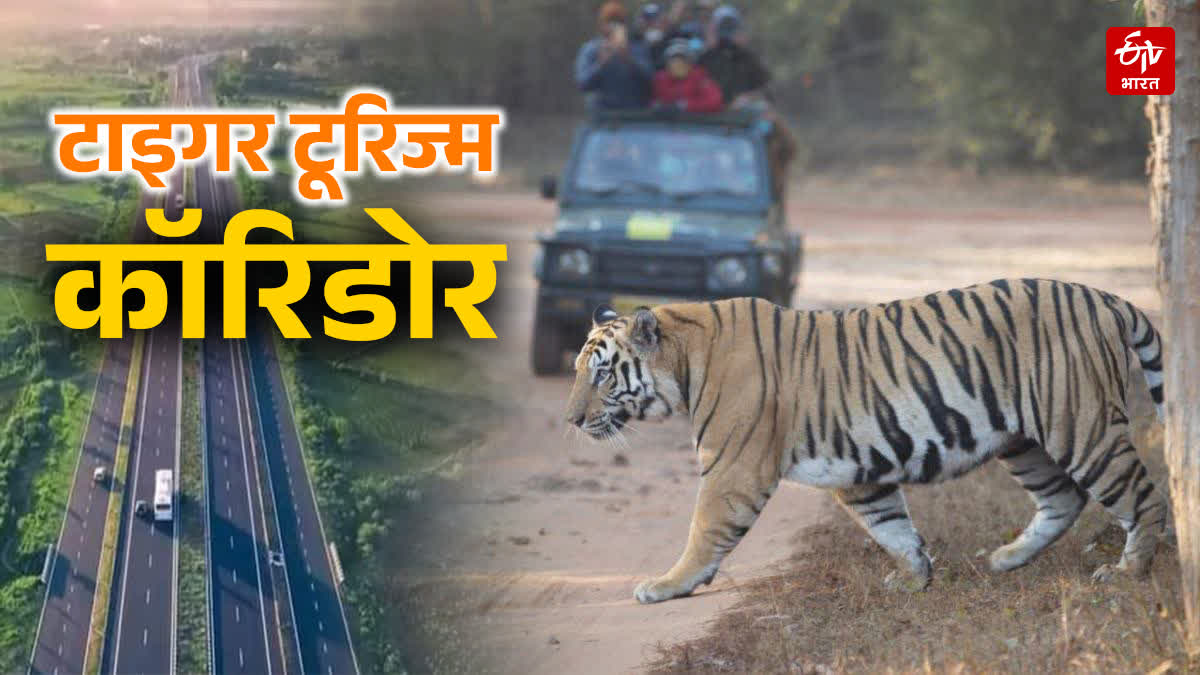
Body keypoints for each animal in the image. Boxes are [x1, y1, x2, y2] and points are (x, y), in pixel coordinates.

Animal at [565, 278, 1168, 604]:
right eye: (577, 371)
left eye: (601, 375)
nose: (570, 419)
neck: (686, 361)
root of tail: (1106, 298)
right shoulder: (856, 472)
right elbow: (891, 526)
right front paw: (915, 578)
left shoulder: (733, 467)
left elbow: (704, 531)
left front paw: (667, 584)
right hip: (1023, 441)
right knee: (1063, 497)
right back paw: (1007, 557)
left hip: (1082, 426)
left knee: (1143, 497)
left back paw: (1128, 573)